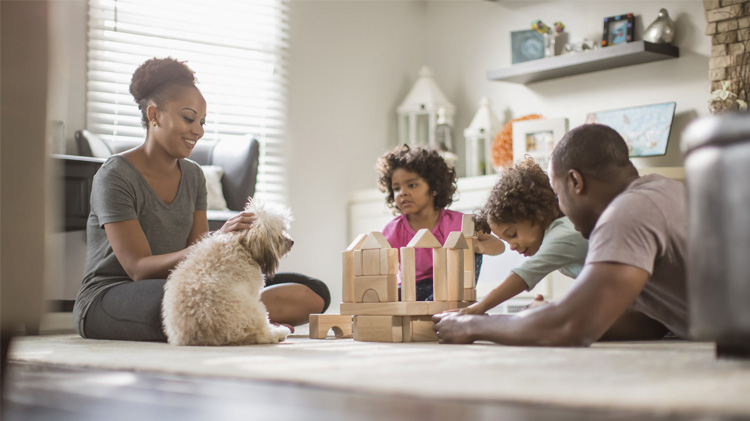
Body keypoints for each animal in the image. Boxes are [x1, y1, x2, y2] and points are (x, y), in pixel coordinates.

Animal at [163, 199, 296, 344]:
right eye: (281, 230)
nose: (292, 241)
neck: (241, 243)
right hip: (254, 308)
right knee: (262, 333)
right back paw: (280, 332)